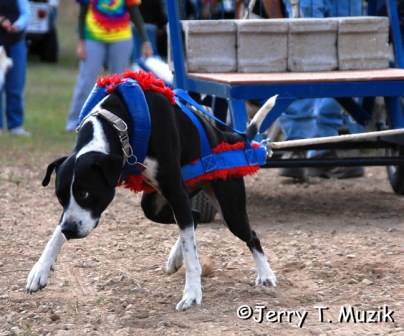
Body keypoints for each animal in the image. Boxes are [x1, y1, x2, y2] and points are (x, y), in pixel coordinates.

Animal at [26, 86, 278, 310]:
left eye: (86, 193)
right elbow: (55, 232)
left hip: (227, 206)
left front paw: (192, 293)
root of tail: (226, 136)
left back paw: (265, 275)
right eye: (60, 197)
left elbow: (192, 254)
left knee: (249, 235)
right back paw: (176, 257)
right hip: (156, 204)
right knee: (193, 217)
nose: (70, 230)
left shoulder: (175, 191)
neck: (118, 124)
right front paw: (40, 269)